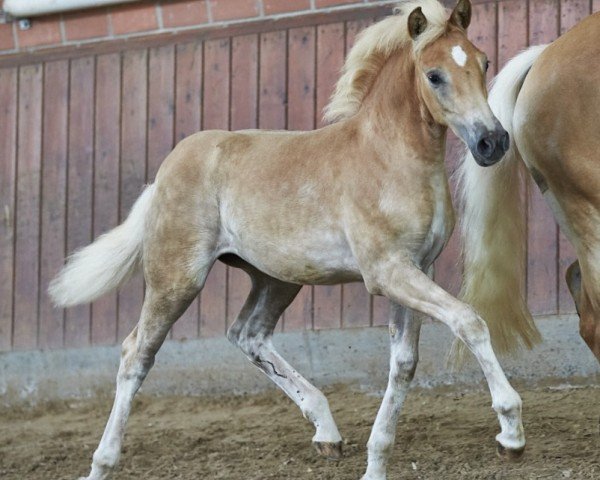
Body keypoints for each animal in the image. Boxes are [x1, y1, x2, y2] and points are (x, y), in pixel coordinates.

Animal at [49, 1, 524, 478]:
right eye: (434, 75)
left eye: (484, 62)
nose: (492, 141)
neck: (388, 158)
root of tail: (163, 175)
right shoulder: (387, 271)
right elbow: (469, 321)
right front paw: (510, 432)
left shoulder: (415, 267)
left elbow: (404, 363)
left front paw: (376, 461)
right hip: (176, 279)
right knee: (137, 354)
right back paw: (101, 463)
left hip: (275, 278)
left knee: (248, 334)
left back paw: (327, 433)